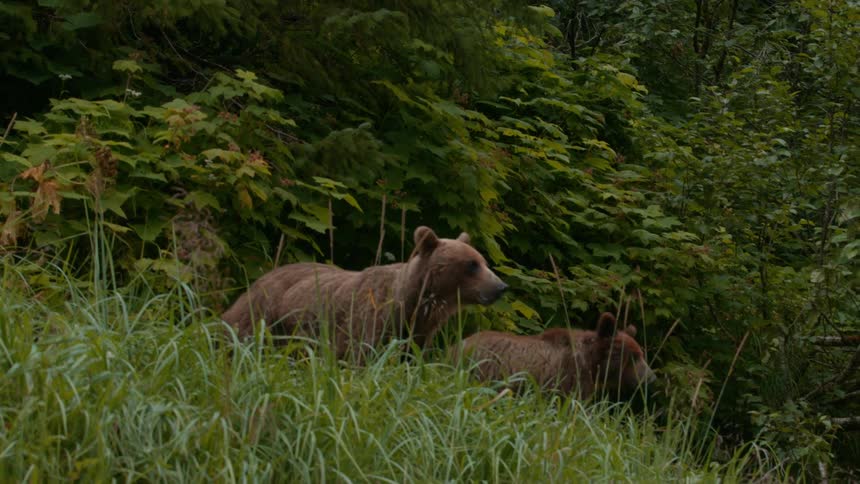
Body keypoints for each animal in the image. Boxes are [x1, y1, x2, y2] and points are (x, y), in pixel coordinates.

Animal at [222, 226, 508, 361]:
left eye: (483, 261)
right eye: (471, 264)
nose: (501, 287)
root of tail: (262, 277)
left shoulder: (417, 332)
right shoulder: (370, 320)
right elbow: (360, 356)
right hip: (265, 316)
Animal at [452, 312, 655, 400]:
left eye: (641, 354)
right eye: (634, 357)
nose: (651, 377)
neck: (592, 363)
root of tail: (458, 345)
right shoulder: (568, 377)